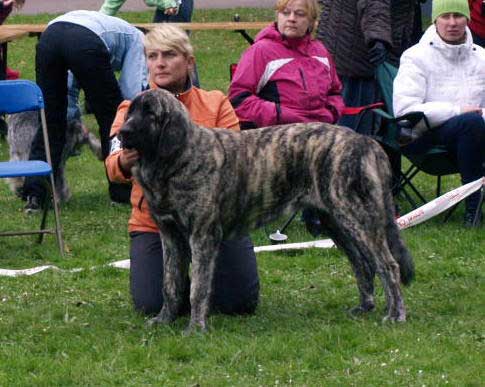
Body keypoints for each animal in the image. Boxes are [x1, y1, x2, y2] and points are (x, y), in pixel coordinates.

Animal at [119, 88, 414, 334]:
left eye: (150, 113)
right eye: (131, 110)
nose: (123, 131)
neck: (176, 160)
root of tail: (365, 141)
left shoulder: (202, 237)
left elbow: (198, 289)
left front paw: (195, 328)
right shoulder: (170, 236)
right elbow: (170, 283)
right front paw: (164, 320)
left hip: (357, 218)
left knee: (387, 265)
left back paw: (395, 314)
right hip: (336, 222)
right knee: (363, 264)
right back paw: (365, 307)